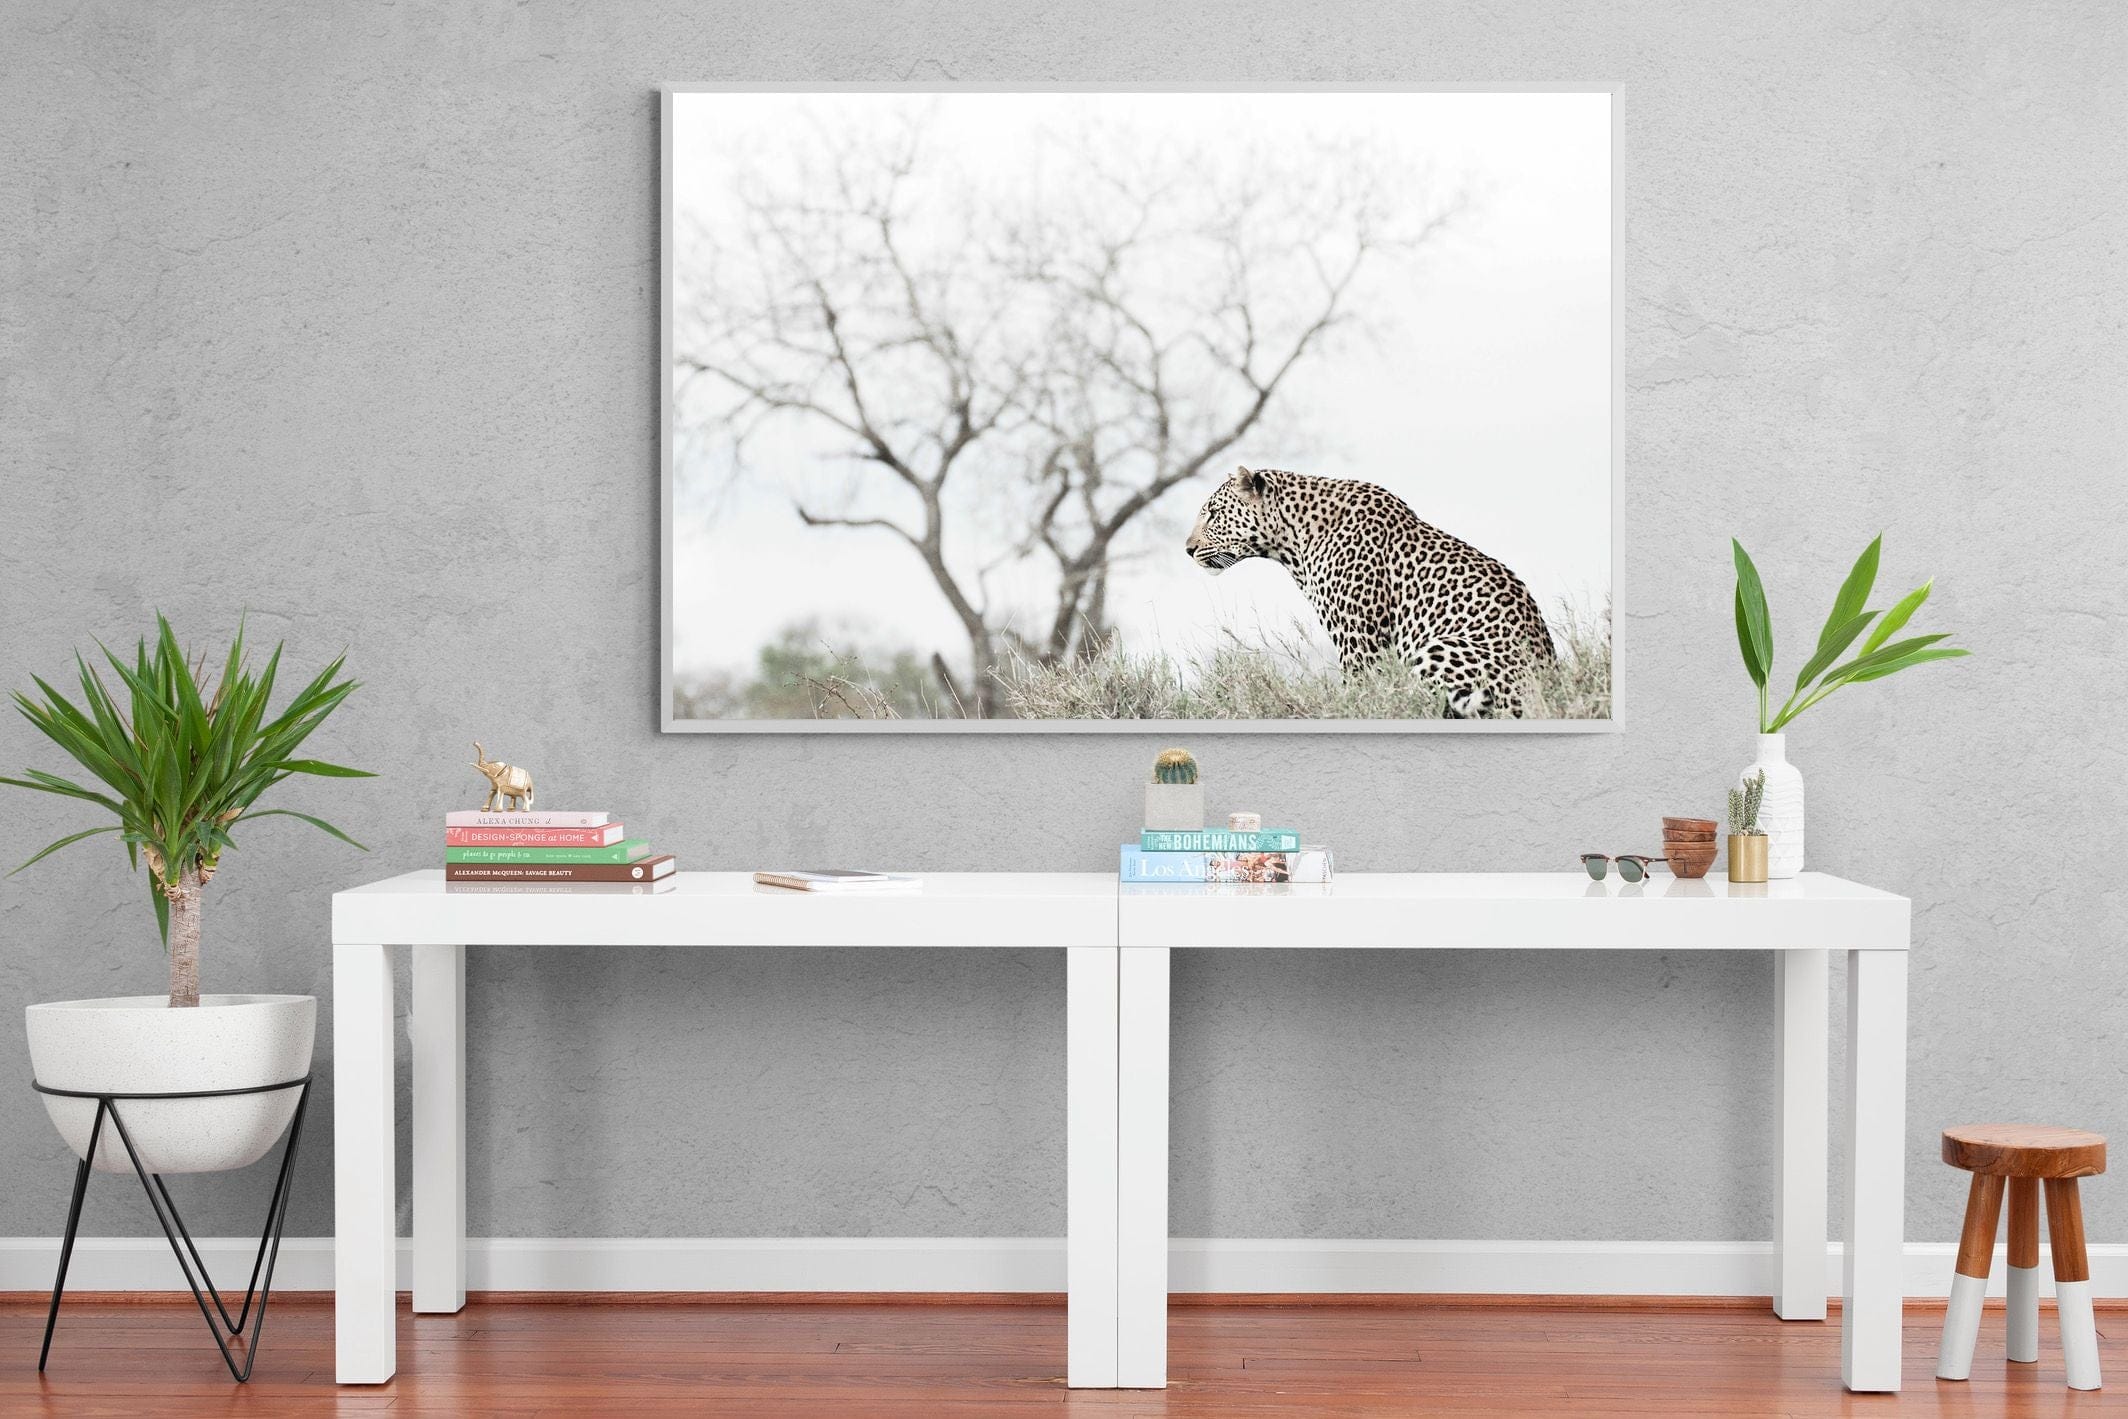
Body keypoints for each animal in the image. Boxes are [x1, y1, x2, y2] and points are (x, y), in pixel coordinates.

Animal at [1183, 465, 1556, 718]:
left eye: (1214, 513)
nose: (1188, 549)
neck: (1292, 540)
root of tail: (1549, 682)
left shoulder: (1358, 639)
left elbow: (1359, 694)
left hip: (1440, 649)